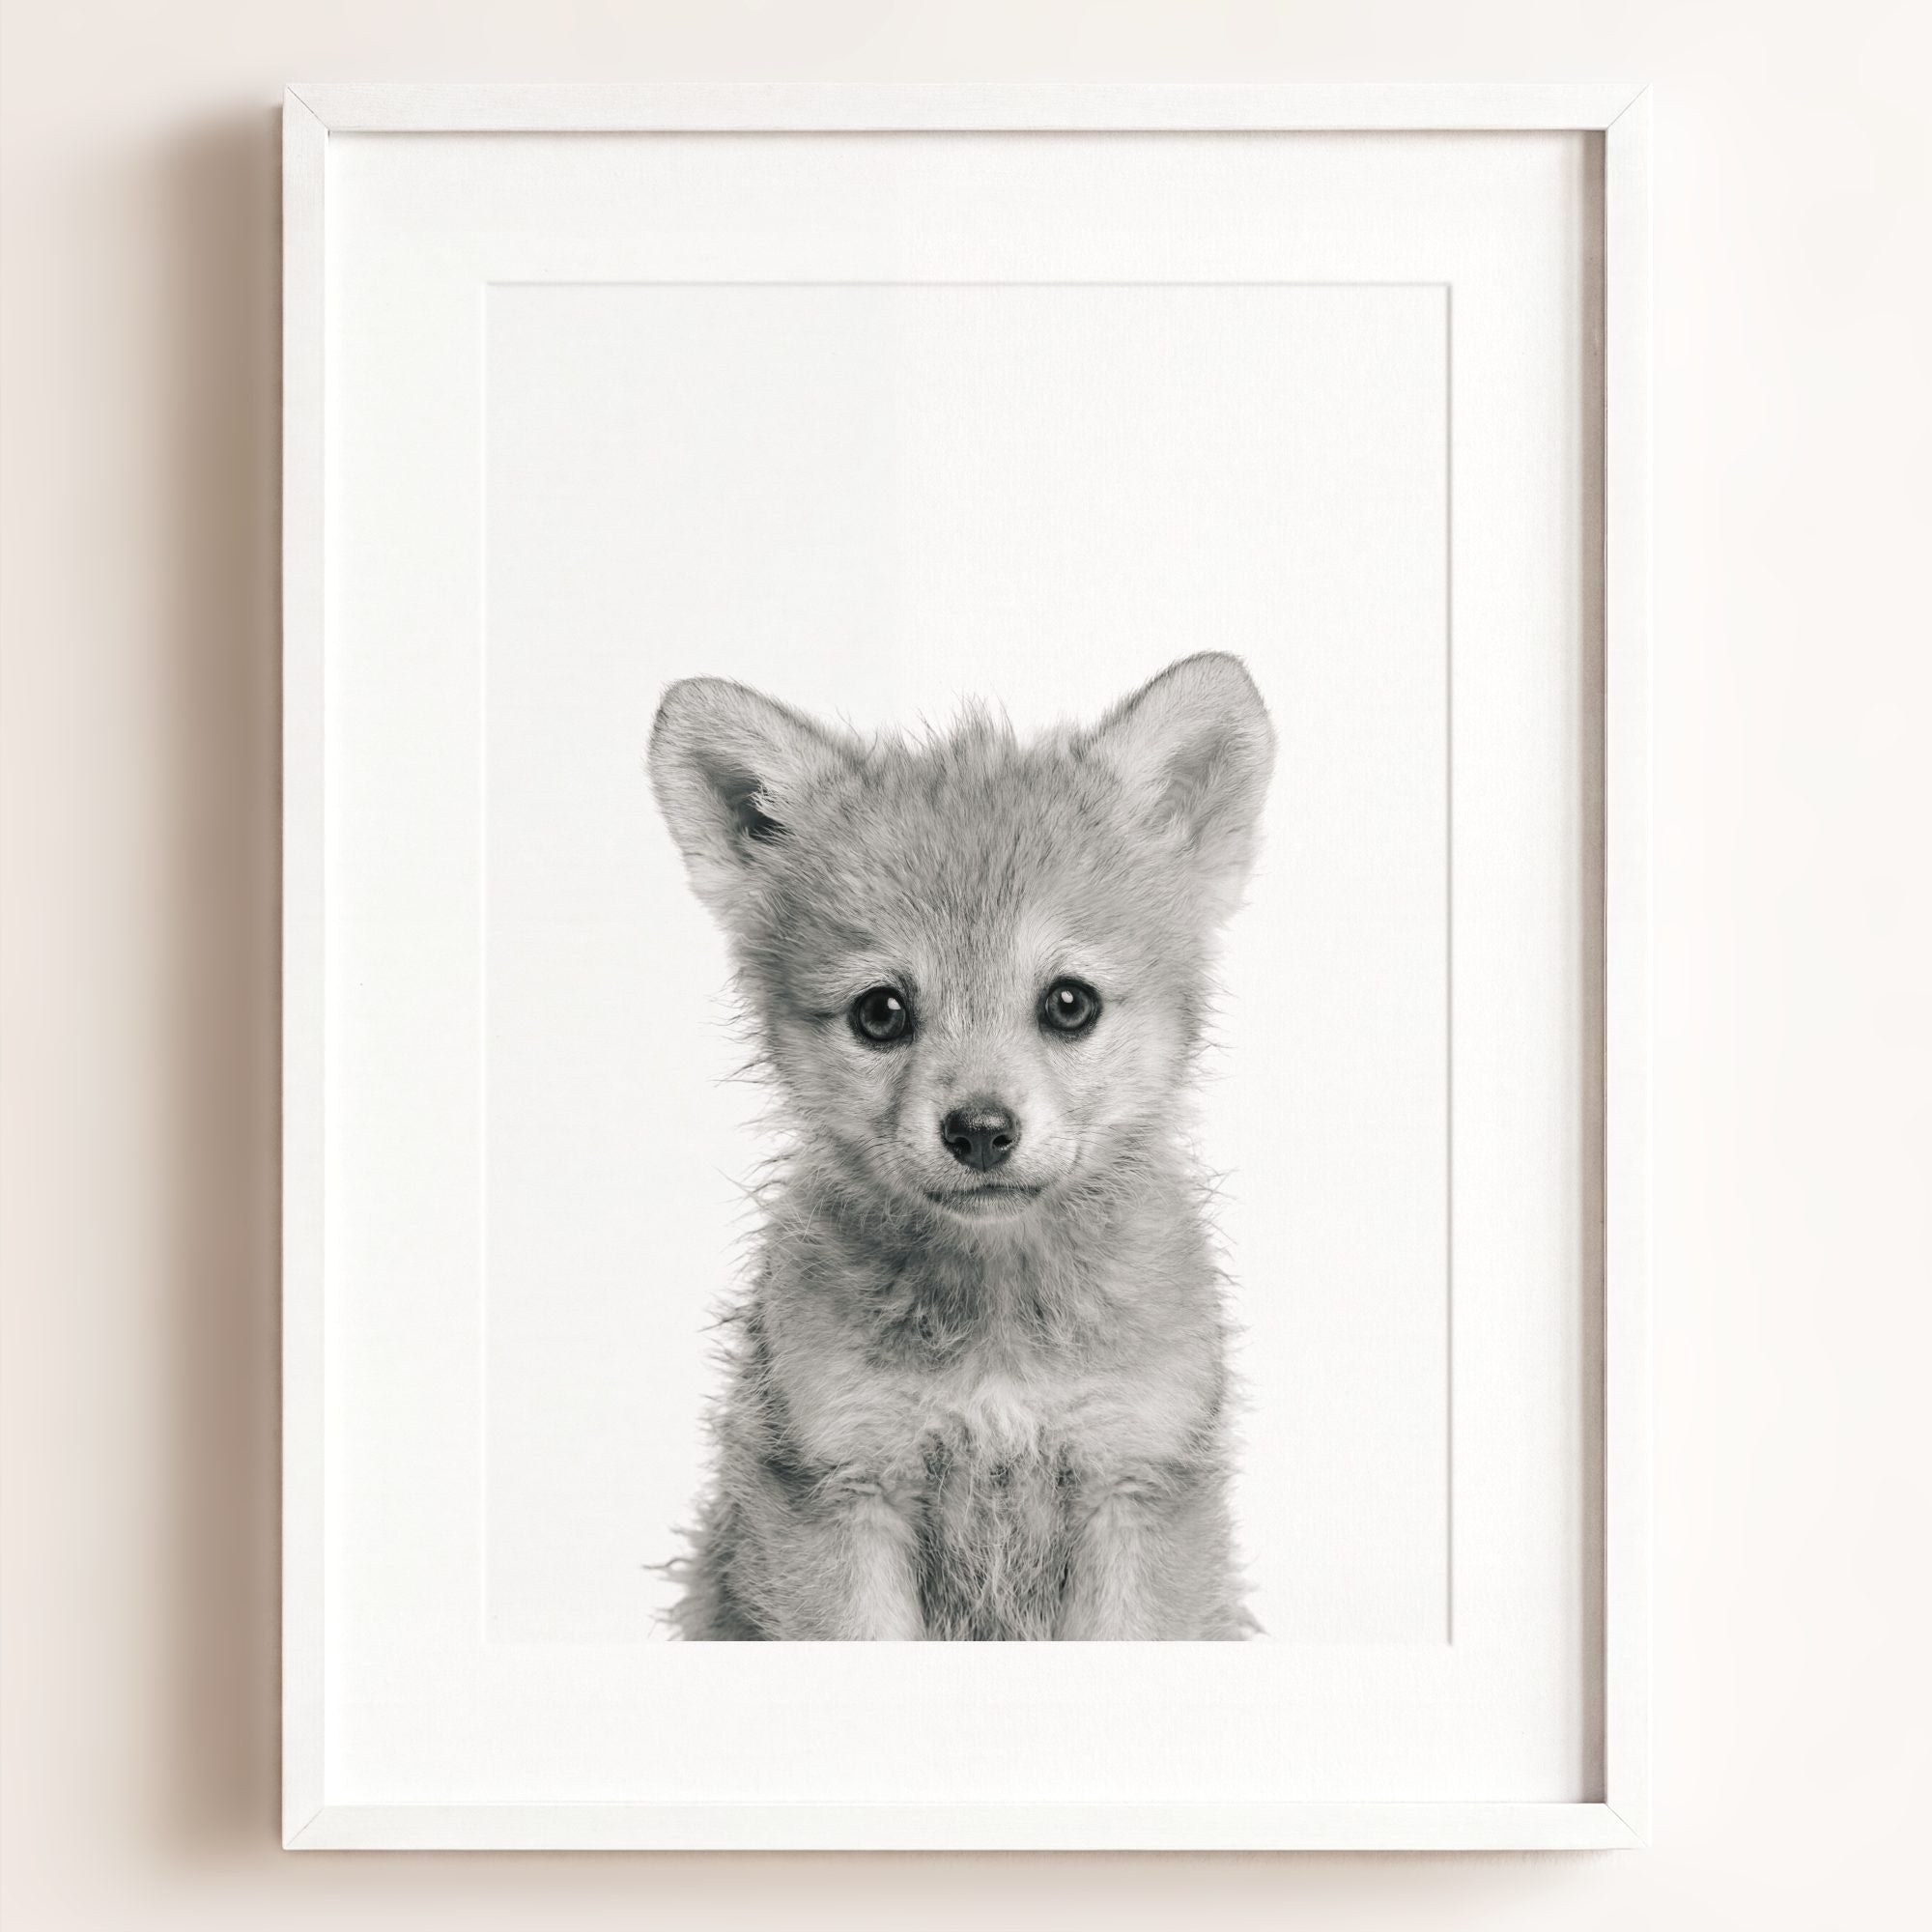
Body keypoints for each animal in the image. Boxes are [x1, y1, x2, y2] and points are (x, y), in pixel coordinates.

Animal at [647, 652, 1274, 1639]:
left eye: (1069, 1003)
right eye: (880, 1012)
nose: (980, 1132)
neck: (998, 1331)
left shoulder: (1134, 1482)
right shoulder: (840, 1487)